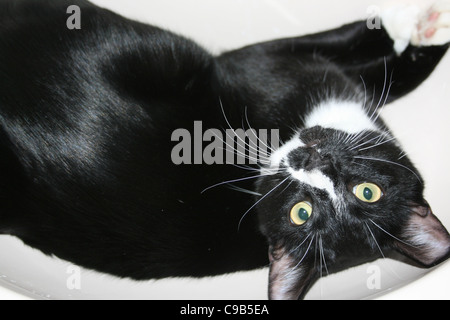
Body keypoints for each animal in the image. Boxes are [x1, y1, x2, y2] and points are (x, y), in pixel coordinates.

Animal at [0, 0, 448, 300]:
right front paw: (426, 28)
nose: (310, 160)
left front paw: (420, 26)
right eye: (368, 192)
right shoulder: (283, 67)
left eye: (300, 213)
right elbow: (376, 66)